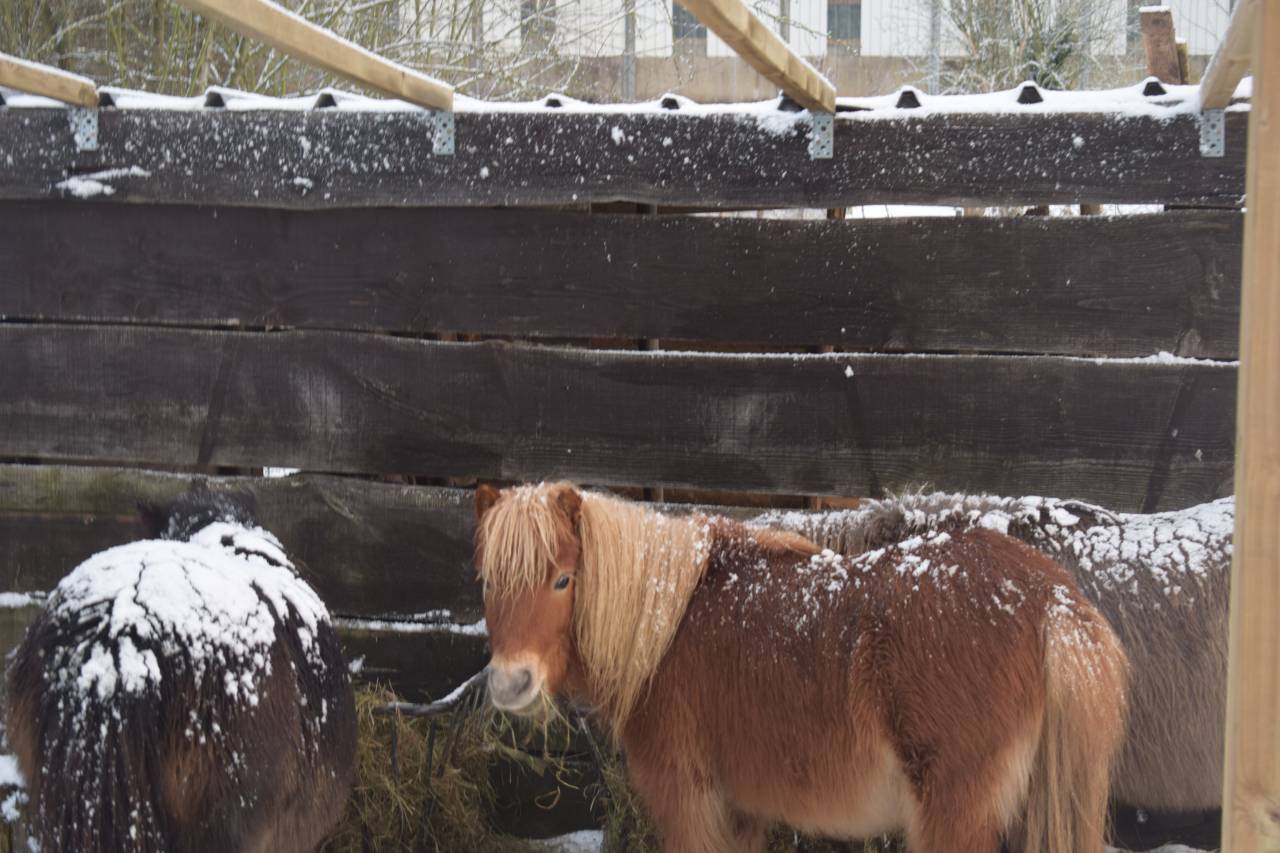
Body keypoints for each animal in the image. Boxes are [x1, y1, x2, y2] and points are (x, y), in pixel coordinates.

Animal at [473, 481, 1129, 853]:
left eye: (563, 580)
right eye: (486, 580)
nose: (510, 683)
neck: (665, 623)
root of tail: (1048, 596)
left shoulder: (690, 805)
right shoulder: (741, 813)